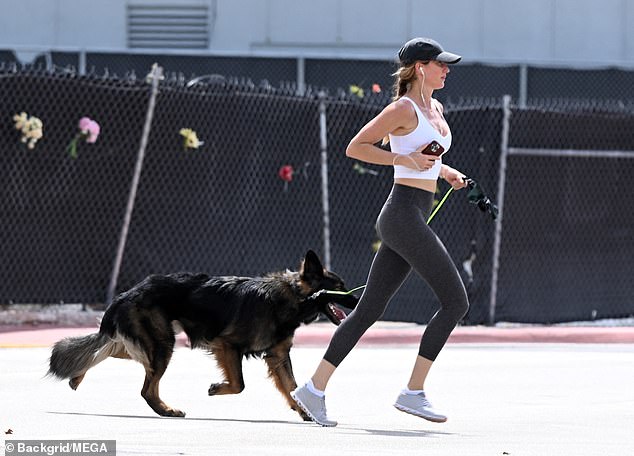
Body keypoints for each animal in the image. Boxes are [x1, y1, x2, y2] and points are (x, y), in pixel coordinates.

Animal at [49, 253, 356, 420]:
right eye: (340, 287)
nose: (358, 299)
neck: (293, 296)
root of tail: (126, 294)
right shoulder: (228, 345)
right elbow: (239, 384)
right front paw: (217, 388)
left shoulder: (278, 355)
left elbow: (290, 386)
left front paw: (305, 410)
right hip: (162, 344)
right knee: (146, 388)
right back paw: (167, 411)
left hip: (149, 342)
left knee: (110, 349)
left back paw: (76, 376)